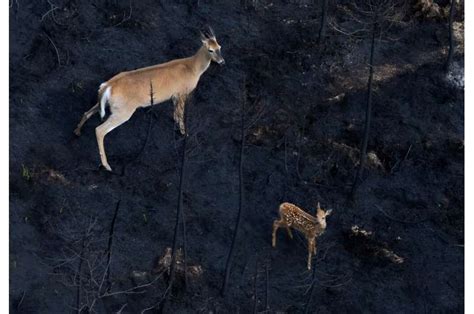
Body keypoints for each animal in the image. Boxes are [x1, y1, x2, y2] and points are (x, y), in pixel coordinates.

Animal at [74, 27, 226, 172]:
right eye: (210, 49)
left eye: (219, 46)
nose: (222, 62)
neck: (193, 68)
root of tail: (108, 86)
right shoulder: (182, 92)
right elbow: (181, 113)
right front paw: (184, 133)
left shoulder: (175, 95)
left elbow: (176, 112)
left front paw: (176, 123)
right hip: (123, 112)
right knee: (100, 130)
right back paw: (107, 166)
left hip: (105, 104)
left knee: (87, 112)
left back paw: (77, 132)